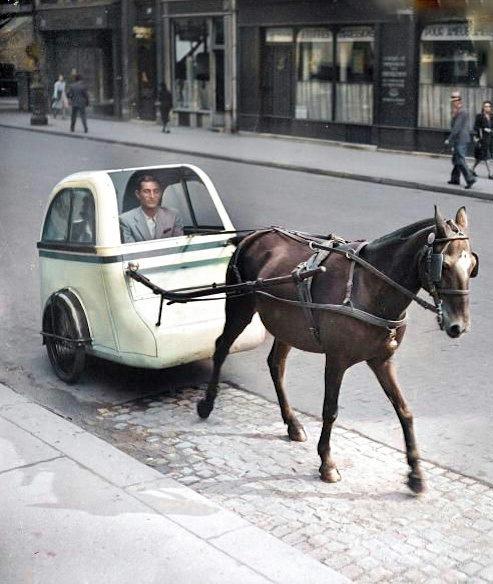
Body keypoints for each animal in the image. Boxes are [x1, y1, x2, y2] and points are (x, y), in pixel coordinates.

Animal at [196, 208, 476, 496]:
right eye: (444, 265)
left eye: (471, 267)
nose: (458, 326)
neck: (370, 286)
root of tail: (253, 235)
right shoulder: (336, 359)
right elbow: (330, 410)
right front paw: (327, 464)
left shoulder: (382, 360)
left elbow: (404, 410)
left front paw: (415, 473)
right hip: (240, 306)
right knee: (221, 347)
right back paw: (207, 403)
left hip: (285, 325)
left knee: (276, 365)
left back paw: (292, 423)